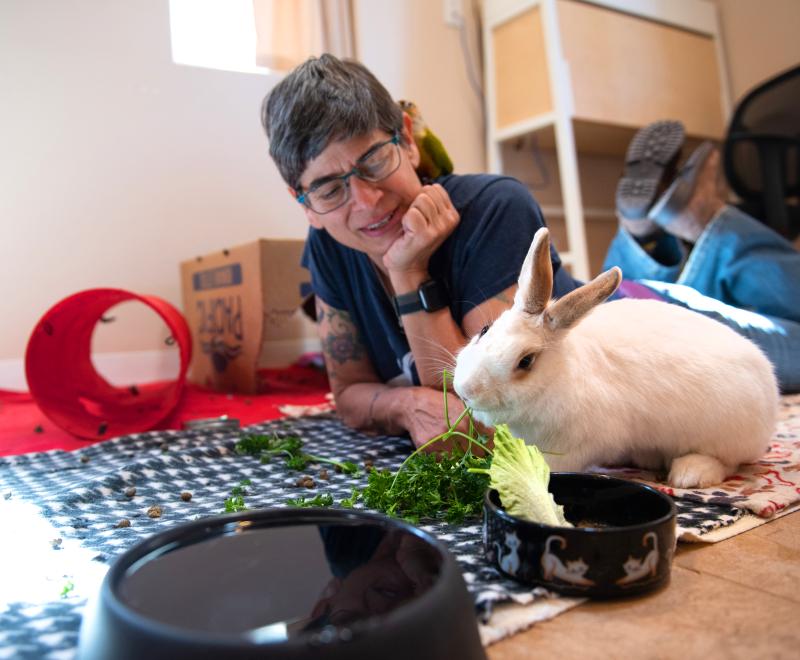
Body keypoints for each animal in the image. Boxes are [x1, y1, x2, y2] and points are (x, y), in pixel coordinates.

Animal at [454, 227, 780, 490]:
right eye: (484, 330)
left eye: (526, 361)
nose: (465, 391)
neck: (558, 376)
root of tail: (769, 385)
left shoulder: (571, 447)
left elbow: (551, 467)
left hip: (724, 437)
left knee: (728, 462)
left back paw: (690, 474)